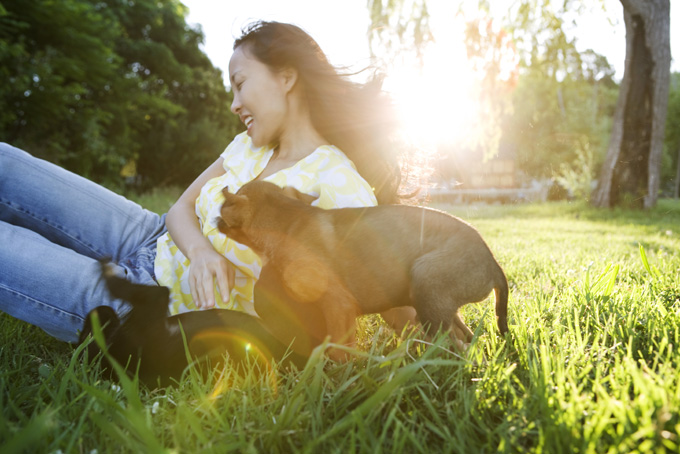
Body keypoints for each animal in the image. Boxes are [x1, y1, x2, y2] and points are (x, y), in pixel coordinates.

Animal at [215, 180, 508, 358]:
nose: (214, 217)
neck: (289, 222)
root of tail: (493, 265)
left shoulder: (338, 304)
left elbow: (338, 348)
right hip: (439, 306)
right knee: (467, 338)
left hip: (426, 281)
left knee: (457, 346)